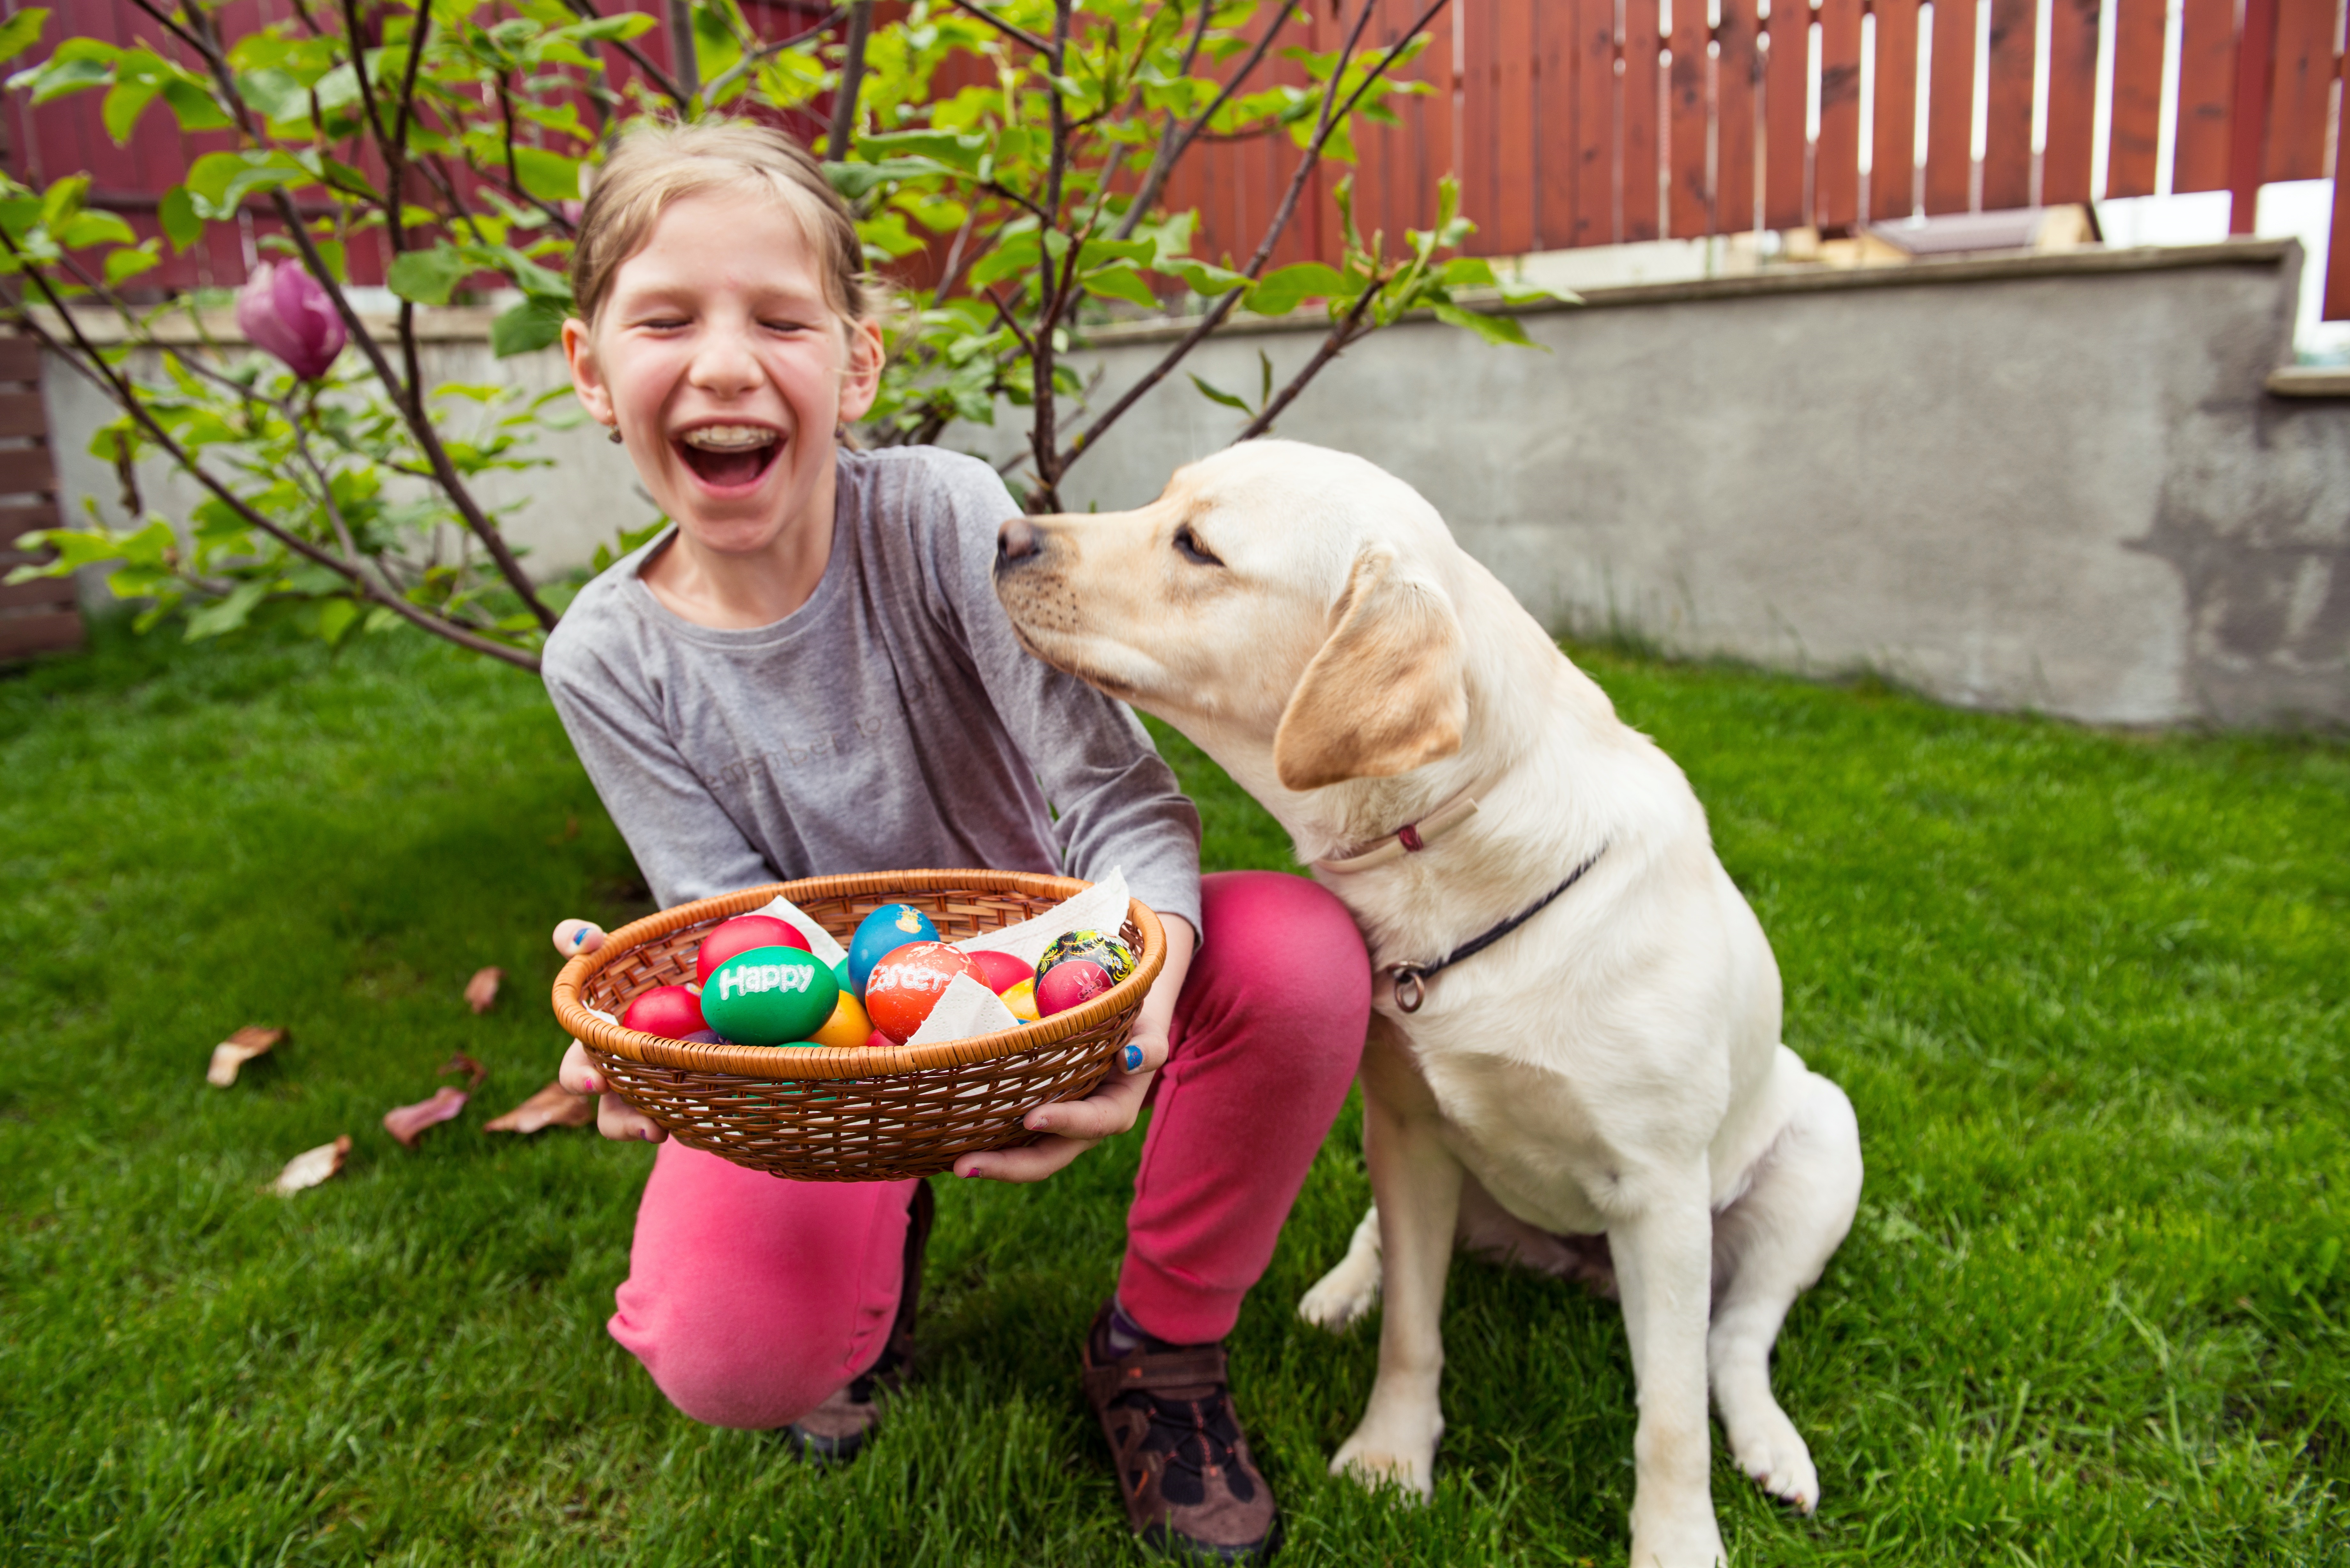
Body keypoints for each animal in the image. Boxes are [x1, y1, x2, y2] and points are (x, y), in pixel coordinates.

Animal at [991, 435, 1852, 1561]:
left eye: (1196, 546)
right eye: (1165, 501)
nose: (1006, 535)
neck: (1454, 853)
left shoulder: (1662, 1191)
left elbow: (1668, 1414)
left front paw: (1675, 1542)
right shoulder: (1405, 1127)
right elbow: (1413, 1325)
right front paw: (1392, 1456)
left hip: (1820, 1143)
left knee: (1734, 1338)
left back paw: (1772, 1447)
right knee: (1390, 1250)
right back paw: (1340, 1290)